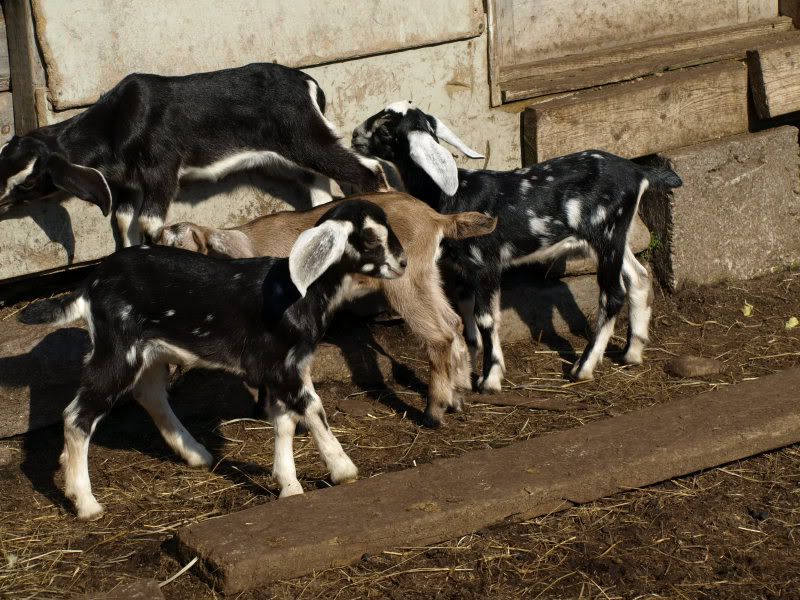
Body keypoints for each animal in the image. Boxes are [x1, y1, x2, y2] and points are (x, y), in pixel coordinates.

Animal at [0, 63, 388, 246]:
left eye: (28, 183)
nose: (0, 203)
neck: (115, 122)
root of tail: (308, 83)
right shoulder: (125, 185)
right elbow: (124, 222)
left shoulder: (162, 170)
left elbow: (148, 222)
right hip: (287, 155)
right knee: (319, 178)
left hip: (305, 138)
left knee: (366, 168)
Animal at [19, 199, 405, 519]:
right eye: (370, 239)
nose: (402, 263)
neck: (299, 293)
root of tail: (90, 284)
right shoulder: (281, 367)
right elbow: (312, 409)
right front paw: (343, 470)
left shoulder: (287, 366)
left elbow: (284, 420)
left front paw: (289, 485)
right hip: (117, 350)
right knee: (77, 416)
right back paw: (85, 503)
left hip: (149, 351)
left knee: (150, 395)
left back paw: (193, 454)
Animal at [156, 192, 497, 428]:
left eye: (191, 250)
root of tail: (435, 217)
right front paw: (262, 409)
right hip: (425, 277)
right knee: (453, 324)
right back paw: (458, 395)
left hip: (405, 279)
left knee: (439, 336)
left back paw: (433, 413)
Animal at [352, 102, 682, 390]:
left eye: (385, 130)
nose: (354, 135)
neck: (454, 195)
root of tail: (639, 172)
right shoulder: (463, 268)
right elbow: (465, 310)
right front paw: (469, 364)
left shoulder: (486, 263)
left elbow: (486, 318)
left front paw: (491, 378)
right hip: (614, 237)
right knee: (639, 276)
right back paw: (632, 353)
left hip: (606, 234)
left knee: (613, 294)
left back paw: (583, 367)